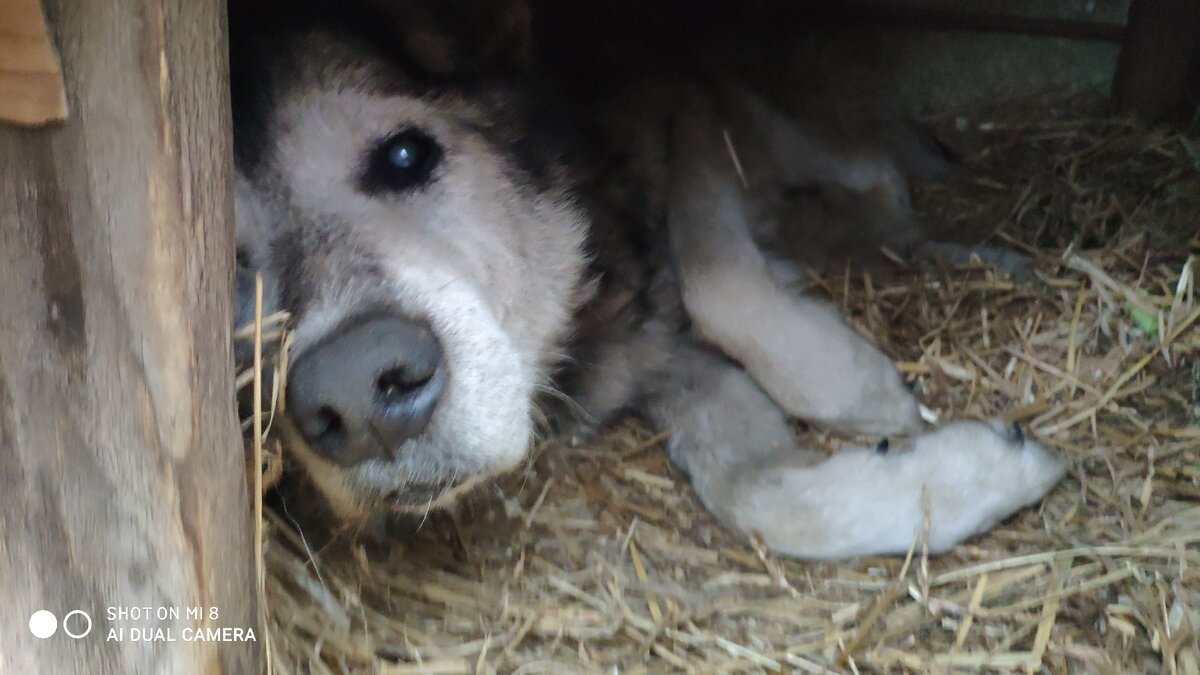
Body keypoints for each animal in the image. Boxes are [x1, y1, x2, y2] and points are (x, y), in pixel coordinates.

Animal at [229, 0, 1065, 557]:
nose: (357, 393)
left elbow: (717, 279)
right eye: (236, 266)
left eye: (406, 155)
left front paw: (858, 388)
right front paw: (968, 473)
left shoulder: (687, 113)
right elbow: (762, 496)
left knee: (880, 173)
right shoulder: (663, 363)